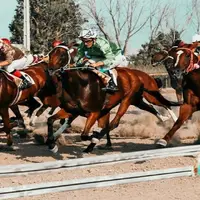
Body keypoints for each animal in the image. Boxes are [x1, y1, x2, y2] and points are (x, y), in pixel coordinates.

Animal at [45, 45, 181, 153]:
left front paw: (95, 138)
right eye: (50, 54)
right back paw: (165, 118)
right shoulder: (72, 110)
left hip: (132, 99)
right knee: (151, 107)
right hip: (137, 100)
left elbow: (85, 134)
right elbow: (51, 120)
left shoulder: (95, 112)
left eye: (62, 55)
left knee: (115, 123)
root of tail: (137, 75)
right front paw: (52, 144)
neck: (80, 85)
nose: (50, 70)